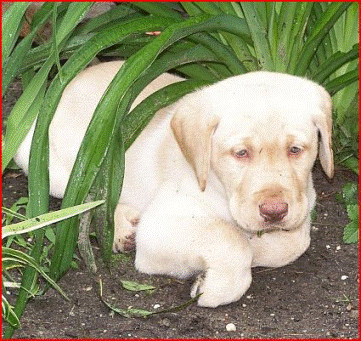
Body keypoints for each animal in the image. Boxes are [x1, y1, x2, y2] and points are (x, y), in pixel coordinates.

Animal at [15, 59, 334, 306]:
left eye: (296, 150)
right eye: (240, 153)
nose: (274, 212)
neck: (218, 186)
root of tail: (64, 83)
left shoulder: (304, 203)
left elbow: (294, 241)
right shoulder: (161, 226)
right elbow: (230, 239)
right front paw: (215, 283)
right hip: (57, 171)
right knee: (92, 199)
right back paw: (121, 226)